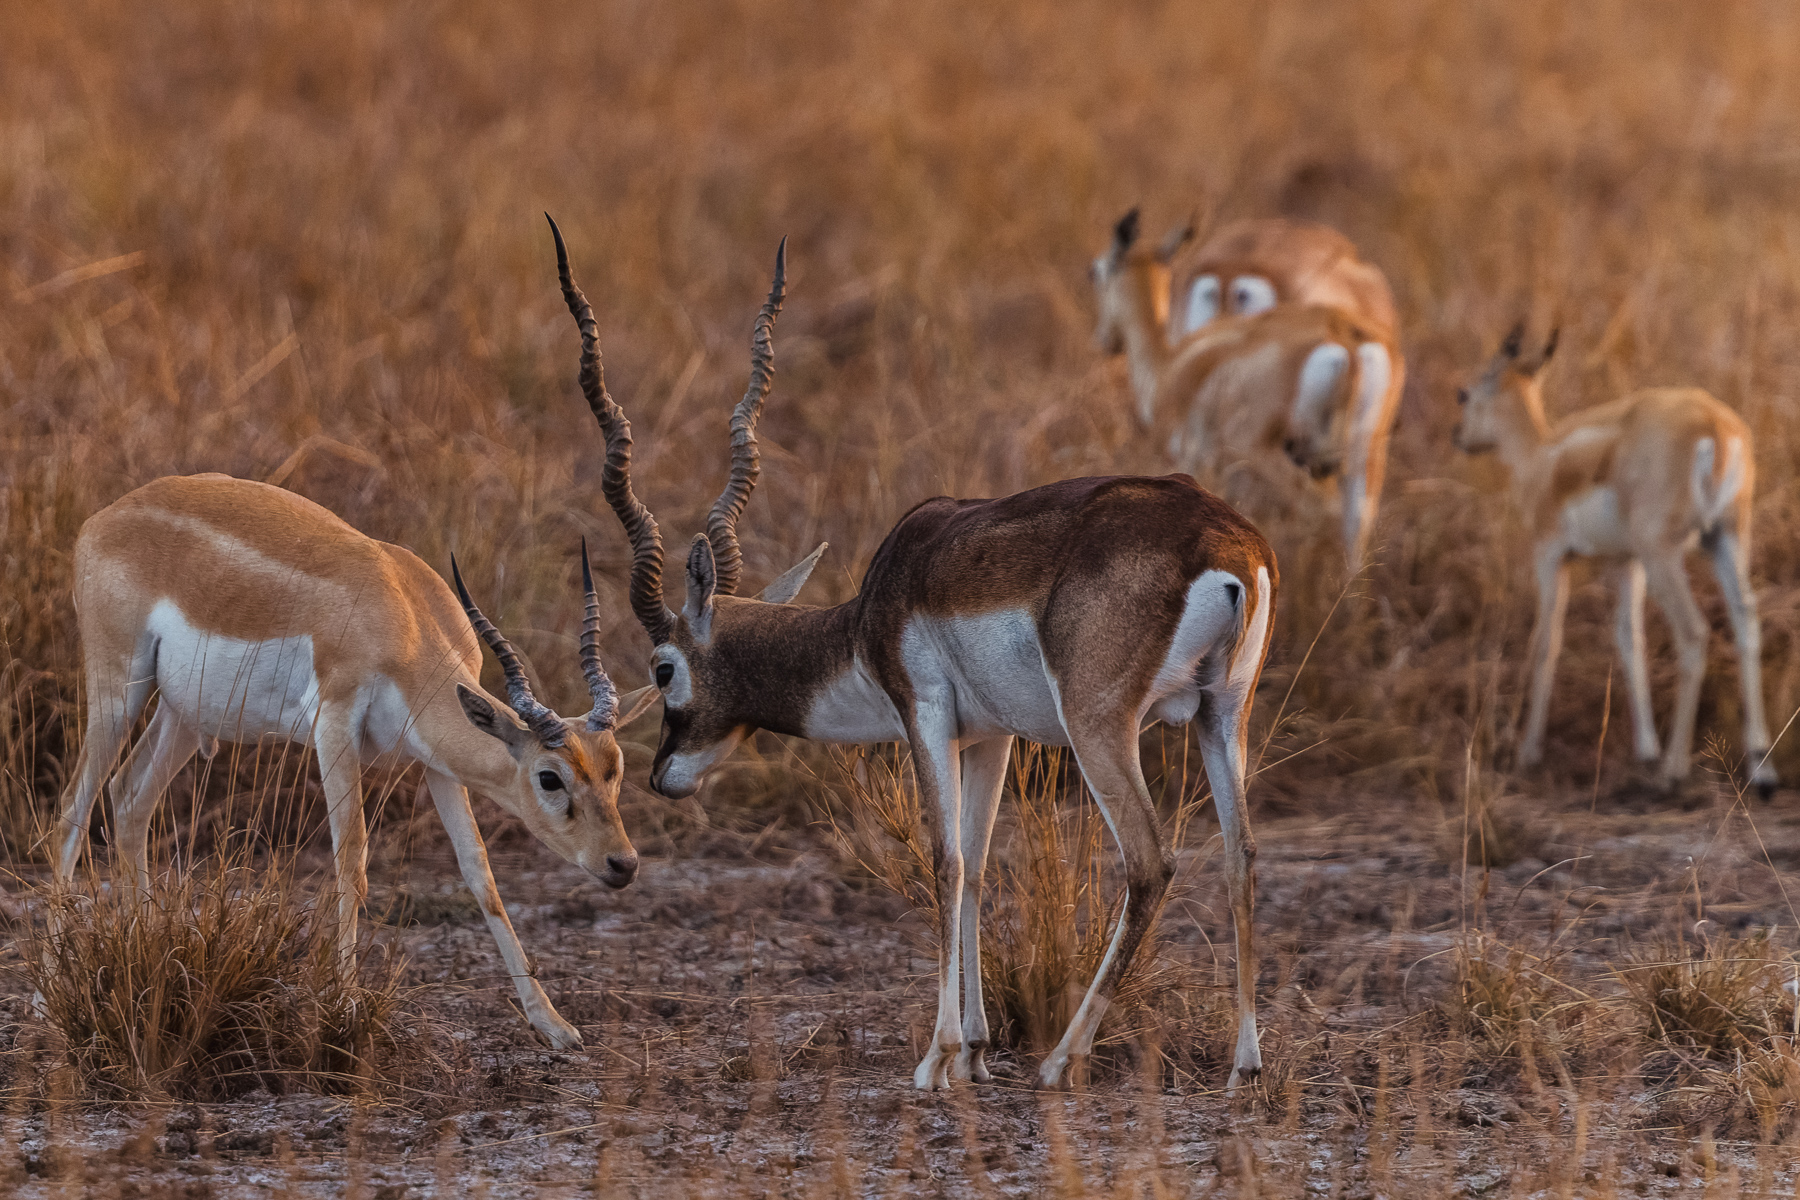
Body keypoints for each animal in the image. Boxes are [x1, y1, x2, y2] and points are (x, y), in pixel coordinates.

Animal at [54, 474, 655, 1048]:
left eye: (616, 769)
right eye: (549, 778)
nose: (623, 864)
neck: (403, 616)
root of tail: (101, 518)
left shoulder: (436, 764)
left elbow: (479, 871)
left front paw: (553, 1024)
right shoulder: (335, 723)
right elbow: (352, 859)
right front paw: (343, 1008)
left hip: (183, 714)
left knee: (129, 797)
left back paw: (144, 953)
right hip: (117, 690)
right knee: (73, 809)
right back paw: (52, 986)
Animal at [548, 217, 1278, 1091]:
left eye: (663, 669)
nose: (662, 776)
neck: (875, 605)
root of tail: (1226, 545)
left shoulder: (923, 713)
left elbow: (944, 861)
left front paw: (937, 1058)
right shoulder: (992, 736)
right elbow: (980, 862)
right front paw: (976, 1049)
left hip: (1100, 725)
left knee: (1149, 862)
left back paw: (1060, 1059)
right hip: (1222, 714)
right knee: (1241, 853)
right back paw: (1246, 1063)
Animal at [1454, 325, 1778, 795]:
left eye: (1463, 393)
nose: (1457, 436)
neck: (1542, 457)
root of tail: (1715, 424)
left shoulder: (1550, 555)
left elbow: (1546, 641)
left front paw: (1528, 753)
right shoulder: (1626, 562)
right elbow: (1630, 640)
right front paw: (1646, 750)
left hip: (1664, 552)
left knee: (1693, 632)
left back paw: (1673, 774)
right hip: (1725, 539)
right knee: (1746, 621)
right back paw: (1762, 771)